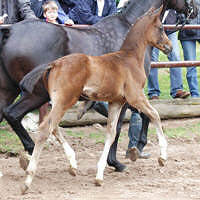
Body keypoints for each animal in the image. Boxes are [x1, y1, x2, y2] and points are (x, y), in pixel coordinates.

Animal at [21, 6, 172, 193]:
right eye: (161, 28)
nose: (169, 47)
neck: (129, 59)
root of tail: (54, 64)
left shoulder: (116, 102)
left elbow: (111, 133)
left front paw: (99, 176)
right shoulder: (136, 96)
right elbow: (155, 115)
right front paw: (162, 158)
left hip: (58, 103)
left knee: (53, 128)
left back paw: (72, 165)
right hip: (65, 101)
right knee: (45, 129)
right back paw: (28, 180)